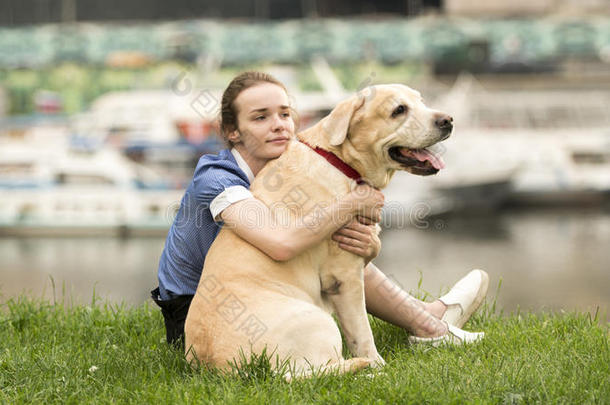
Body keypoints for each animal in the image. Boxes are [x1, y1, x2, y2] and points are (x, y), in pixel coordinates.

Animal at [185, 83, 452, 378]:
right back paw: (369, 372)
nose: (448, 120)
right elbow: (362, 333)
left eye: (421, 101)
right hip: (317, 321)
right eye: (399, 110)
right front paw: (379, 364)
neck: (339, 161)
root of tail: (230, 370)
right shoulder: (345, 276)